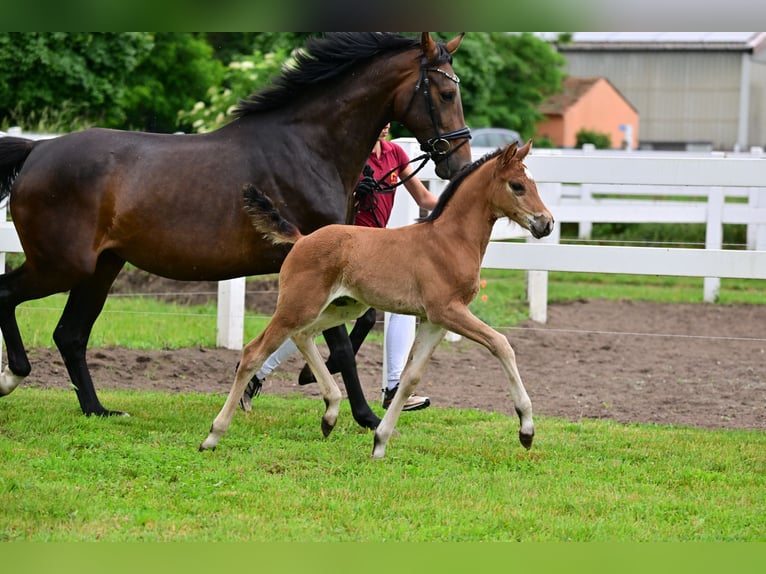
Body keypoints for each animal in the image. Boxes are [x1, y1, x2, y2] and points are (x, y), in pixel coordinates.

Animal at [0, 30, 474, 428]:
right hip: (62, 265)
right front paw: (364, 416)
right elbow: (341, 342)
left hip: (102, 267)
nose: (459, 164)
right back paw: (14, 376)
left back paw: (98, 410)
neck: (308, 148)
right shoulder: (319, 263)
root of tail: (37, 150)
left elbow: (354, 324)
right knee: (12, 297)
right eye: (447, 92)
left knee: (70, 334)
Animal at [201, 142, 556, 462]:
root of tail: (301, 239)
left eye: (534, 183)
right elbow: (502, 344)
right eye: (517, 185)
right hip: (298, 305)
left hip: (340, 306)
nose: (547, 223)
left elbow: (411, 377)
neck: (449, 240)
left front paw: (380, 442)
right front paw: (526, 429)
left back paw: (330, 414)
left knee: (302, 336)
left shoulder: (436, 320)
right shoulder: (448, 311)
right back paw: (213, 436)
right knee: (253, 352)